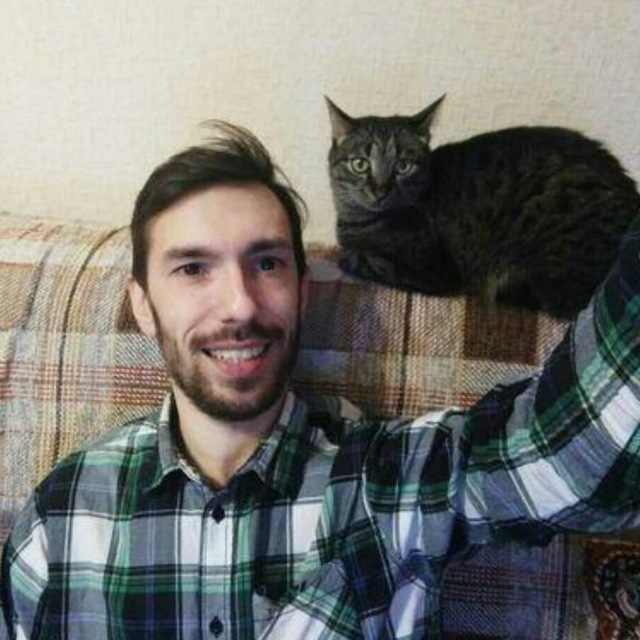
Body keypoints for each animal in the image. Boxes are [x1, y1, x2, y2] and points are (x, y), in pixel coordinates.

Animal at [326, 95, 640, 318]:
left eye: (403, 166)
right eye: (360, 164)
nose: (380, 190)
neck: (358, 220)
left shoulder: (432, 271)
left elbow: (356, 258)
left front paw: (352, 254)